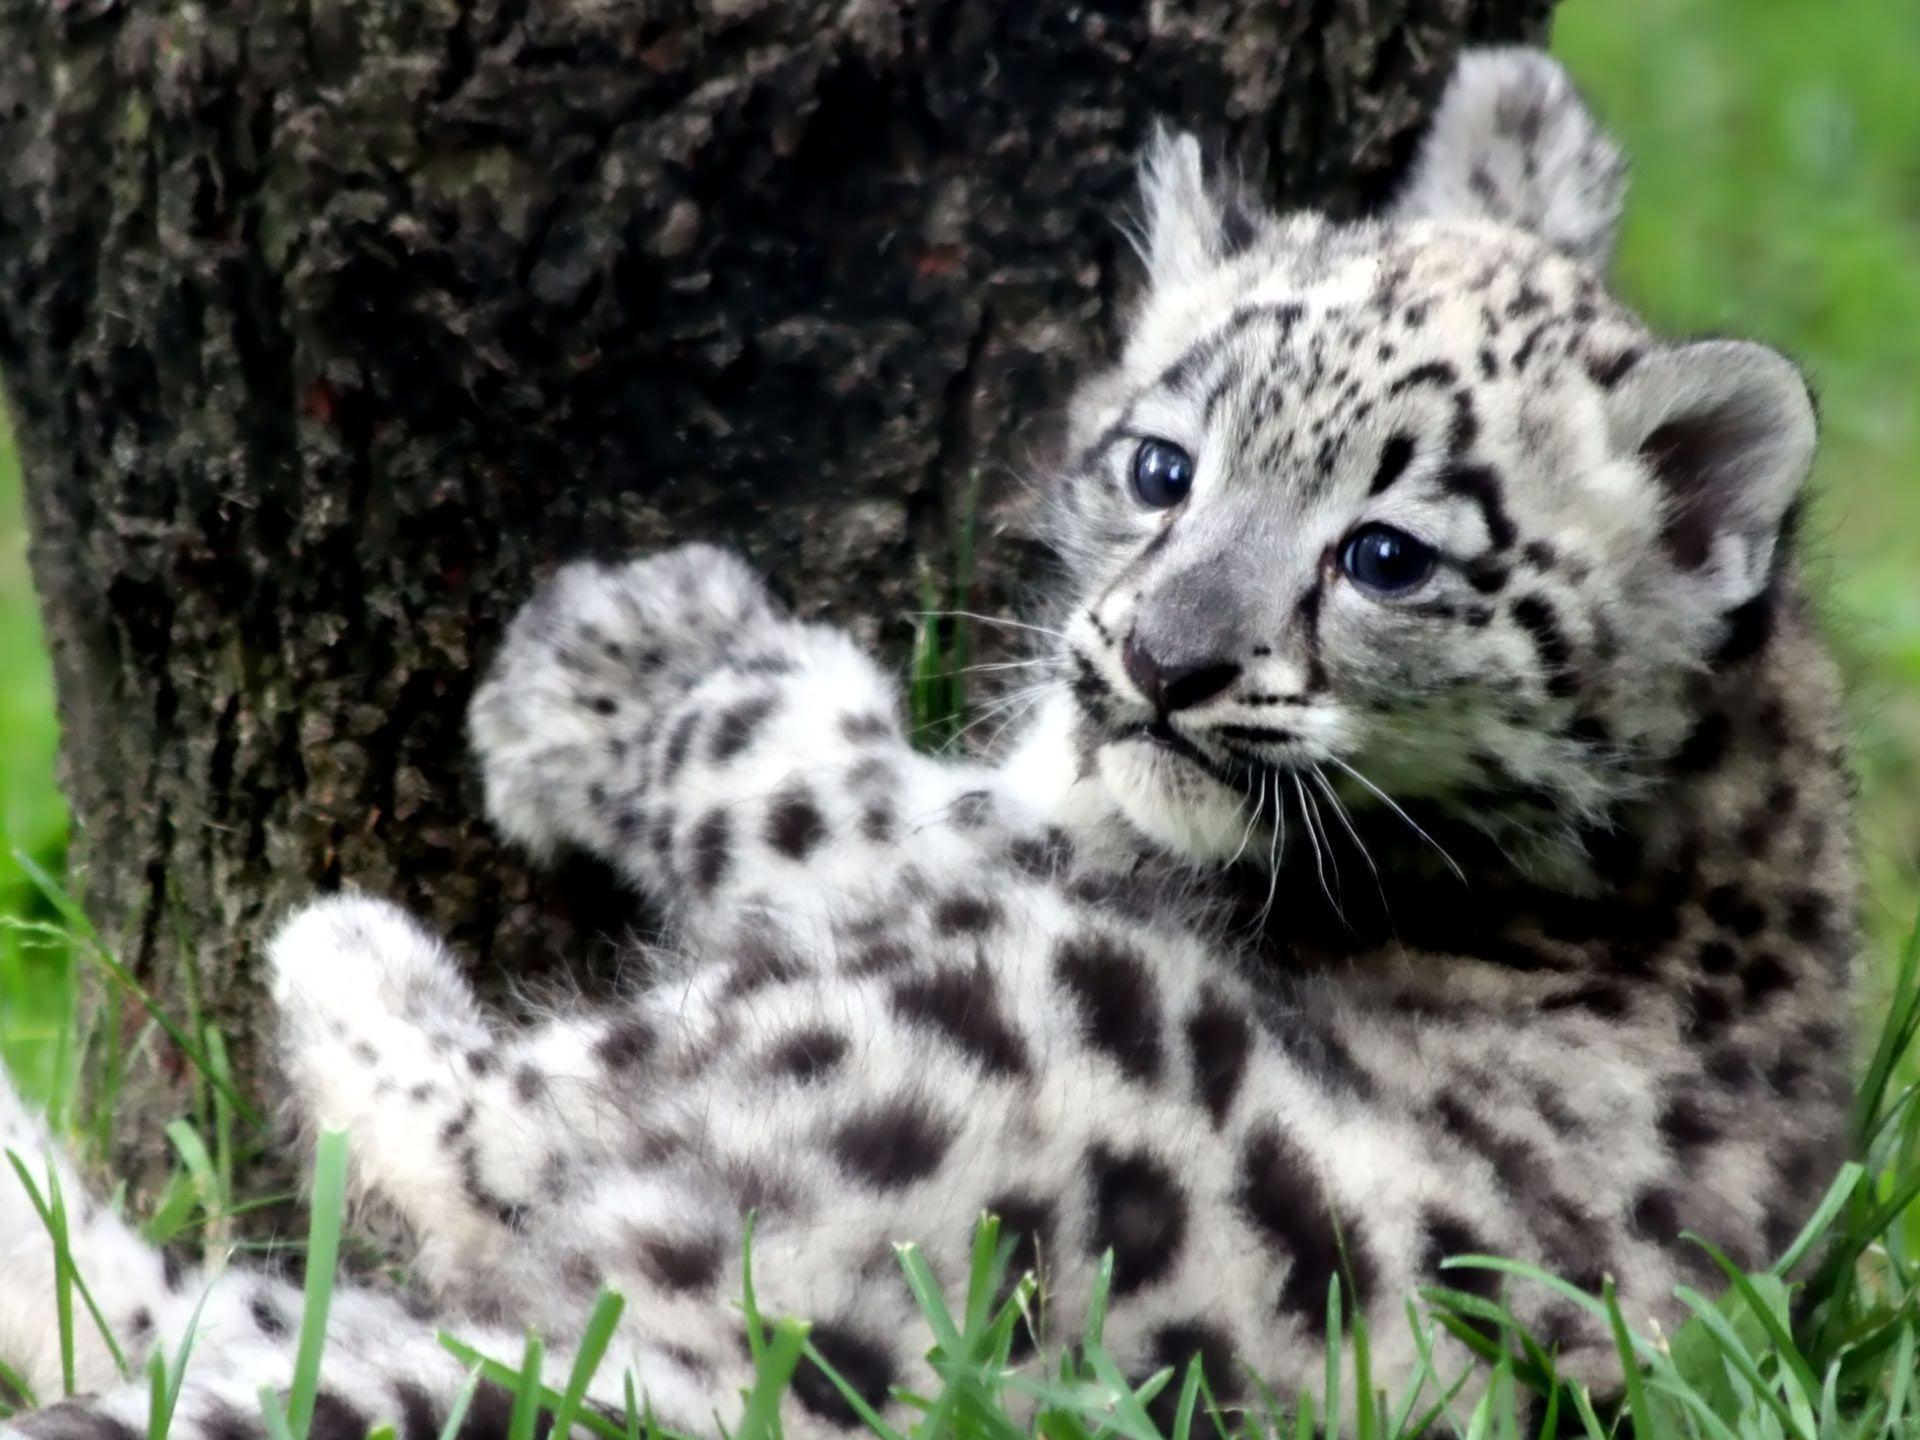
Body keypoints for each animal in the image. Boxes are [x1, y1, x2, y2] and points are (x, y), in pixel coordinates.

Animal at [0, 46, 1856, 1440]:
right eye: (1161, 465)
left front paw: (618, 659)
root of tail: (823, 1372)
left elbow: (786, 766)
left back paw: (344, 954)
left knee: (456, 1163)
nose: (1163, 664)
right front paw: (1517, 126)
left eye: (1386, 555)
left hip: (948, 1006)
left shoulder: (998, 841)